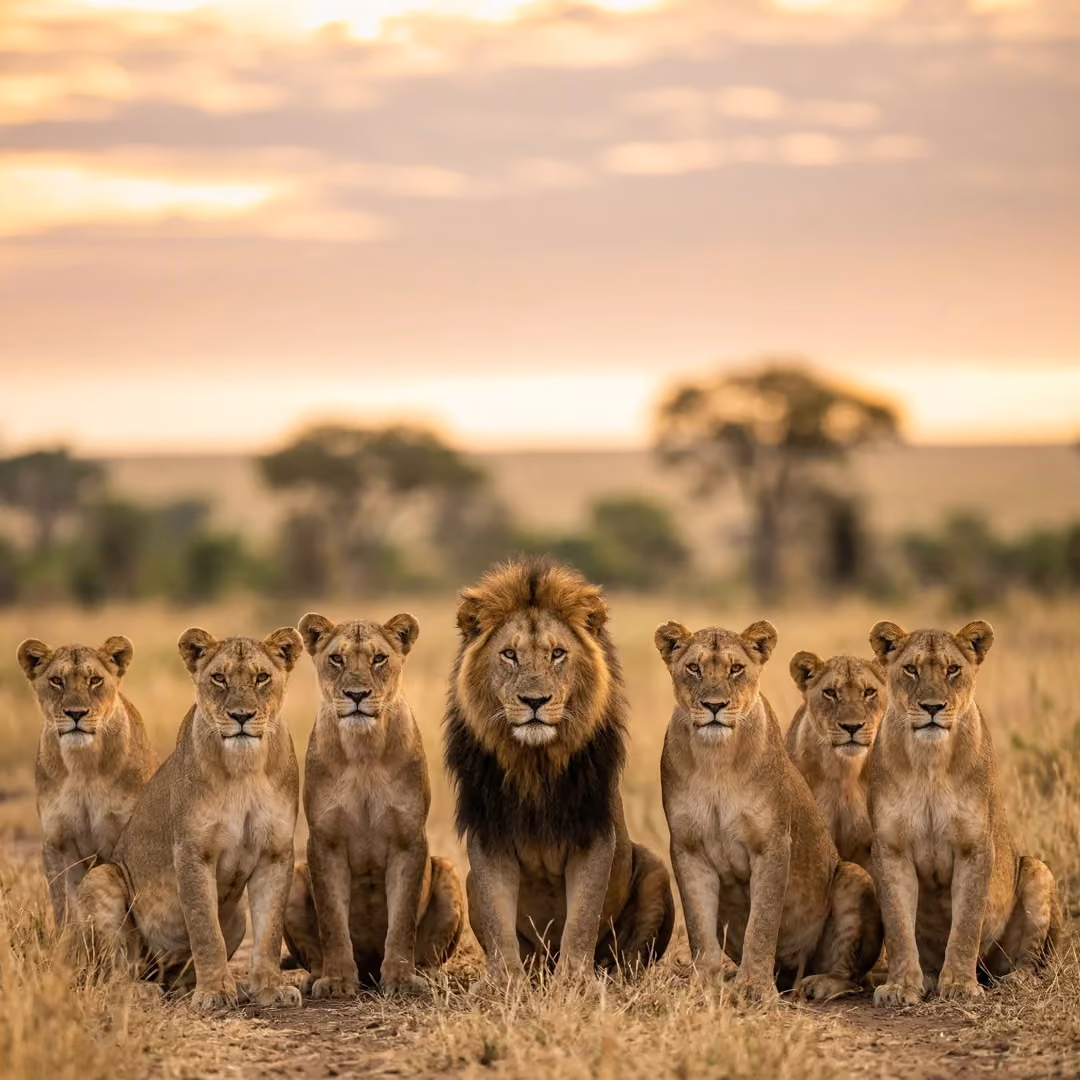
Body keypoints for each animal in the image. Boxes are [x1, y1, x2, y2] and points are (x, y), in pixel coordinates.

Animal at [17, 636, 157, 927]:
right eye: (56, 680)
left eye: (95, 680)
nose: (76, 713)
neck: (83, 767)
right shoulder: (58, 843)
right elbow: (65, 906)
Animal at [75, 627, 304, 1013]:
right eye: (219, 678)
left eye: (262, 677)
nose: (241, 716)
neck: (244, 768)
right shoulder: (192, 851)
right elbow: (204, 929)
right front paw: (214, 992)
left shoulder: (275, 853)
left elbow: (270, 931)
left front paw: (270, 987)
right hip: (102, 880)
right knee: (113, 973)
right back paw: (142, 991)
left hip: (237, 918)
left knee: (174, 976)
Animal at [283, 611, 464, 998]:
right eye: (336, 659)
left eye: (379, 658)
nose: (356, 694)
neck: (363, 750)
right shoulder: (325, 841)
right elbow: (333, 920)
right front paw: (337, 980)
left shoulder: (409, 839)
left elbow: (402, 920)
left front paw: (400, 979)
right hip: (295, 873)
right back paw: (315, 978)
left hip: (449, 869)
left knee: (430, 953)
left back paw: (428, 975)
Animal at [443, 557, 674, 982]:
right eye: (509, 655)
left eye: (557, 654)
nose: (534, 700)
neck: (534, 764)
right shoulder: (488, 836)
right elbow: (498, 918)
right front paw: (504, 982)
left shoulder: (594, 833)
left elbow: (582, 917)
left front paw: (576, 981)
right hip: (466, 882)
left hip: (655, 869)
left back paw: (610, 975)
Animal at [868, 620, 1061, 1007]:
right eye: (910, 669)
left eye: (952, 669)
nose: (932, 707)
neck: (929, 761)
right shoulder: (890, 849)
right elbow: (897, 925)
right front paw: (901, 987)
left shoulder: (974, 847)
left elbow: (967, 922)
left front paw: (958, 984)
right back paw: (928, 978)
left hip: (1037, 870)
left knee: (1027, 959)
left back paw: (1014, 981)